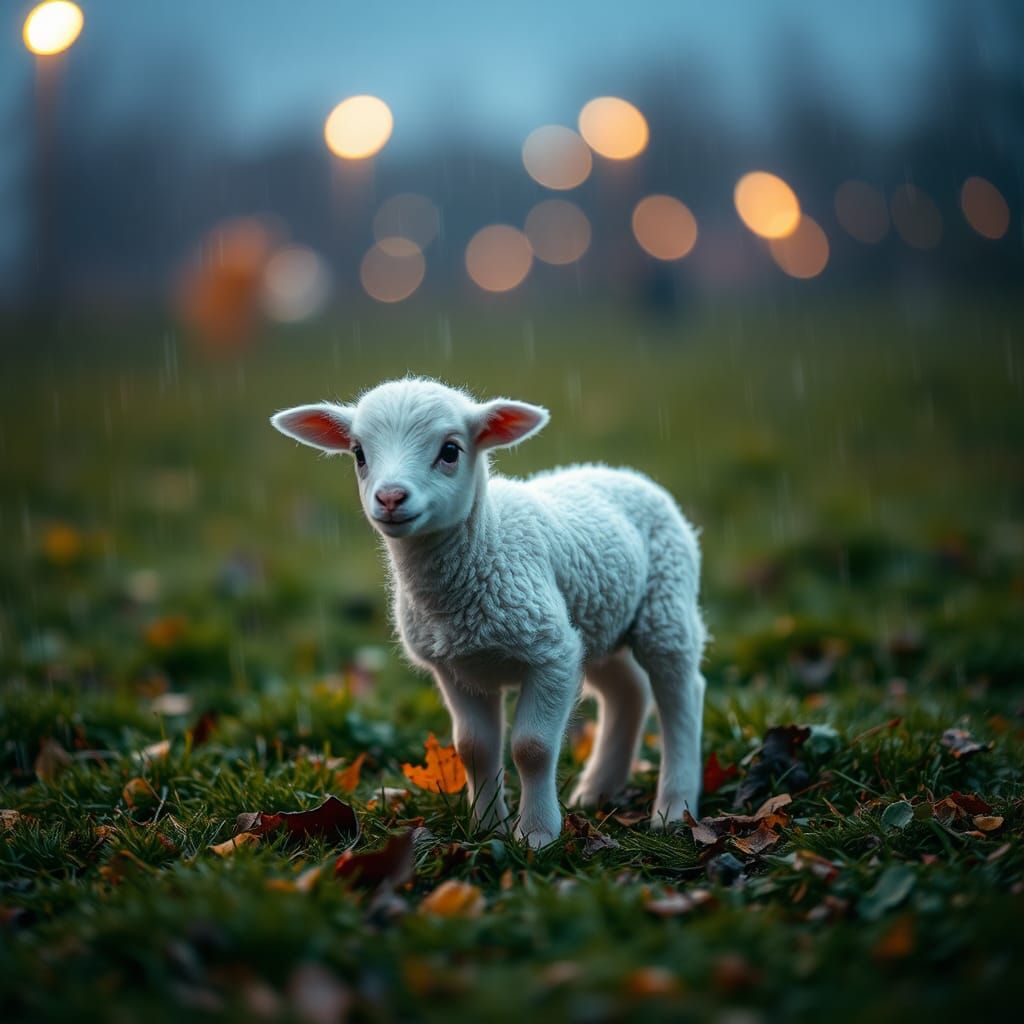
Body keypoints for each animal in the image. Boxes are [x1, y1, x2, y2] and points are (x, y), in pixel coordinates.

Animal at [271, 377, 707, 847]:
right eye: (358, 453)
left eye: (450, 450)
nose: (390, 498)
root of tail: (621, 471)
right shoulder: (456, 667)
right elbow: (473, 748)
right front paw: (486, 829)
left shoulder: (552, 651)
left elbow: (532, 747)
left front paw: (536, 835)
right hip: (598, 619)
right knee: (628, 690)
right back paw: (596, 792)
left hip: (666, 600)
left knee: (680, 691)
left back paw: (674, 809)